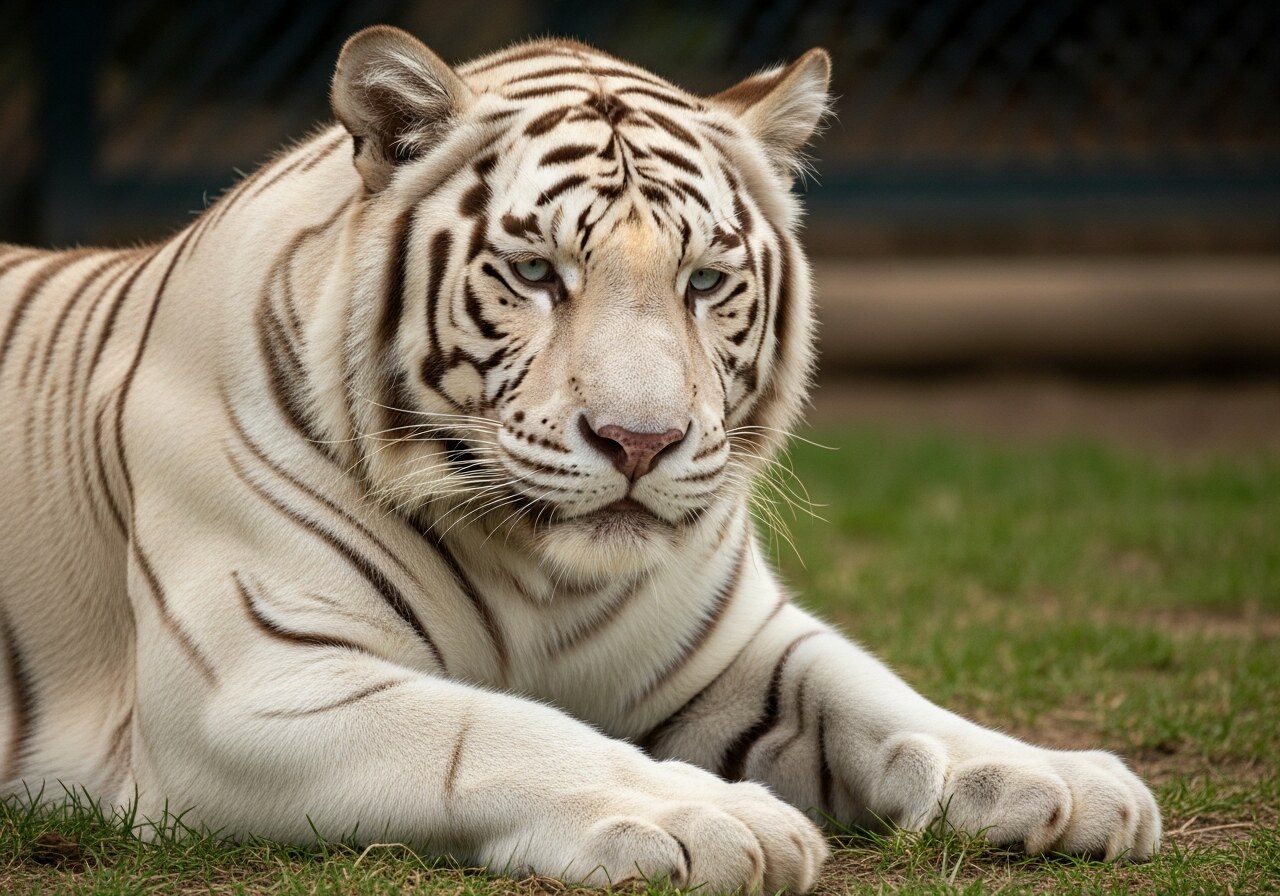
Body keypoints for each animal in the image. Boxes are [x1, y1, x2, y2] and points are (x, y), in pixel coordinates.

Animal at [0, 25, 1160, 892]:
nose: (639, 440)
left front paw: (1057, 778)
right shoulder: (253, 686)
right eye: (533, 272)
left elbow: (879, 696)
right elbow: (497, 734)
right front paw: (710, 816)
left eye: (704, 281)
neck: (537, 569)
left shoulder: (734, 642)